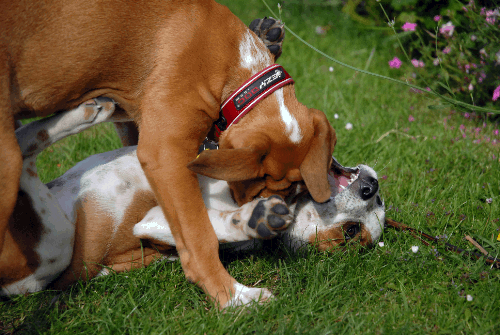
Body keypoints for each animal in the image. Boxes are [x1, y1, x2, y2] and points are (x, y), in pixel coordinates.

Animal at [0, 0, 336, 308]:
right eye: (262, 182)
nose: (276, 203)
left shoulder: (140, 126)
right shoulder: (164, 151)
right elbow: (199, 236)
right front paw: (231, 295)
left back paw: (87, 112)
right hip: (34, 212)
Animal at [2, 100, 382, 308]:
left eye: (350, 233)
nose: (372, 189)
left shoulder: (154, 219)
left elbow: (208, 231)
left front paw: (253, 218)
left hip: (56, 245)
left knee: (22, 160)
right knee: (22, 147)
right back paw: (86, 111)